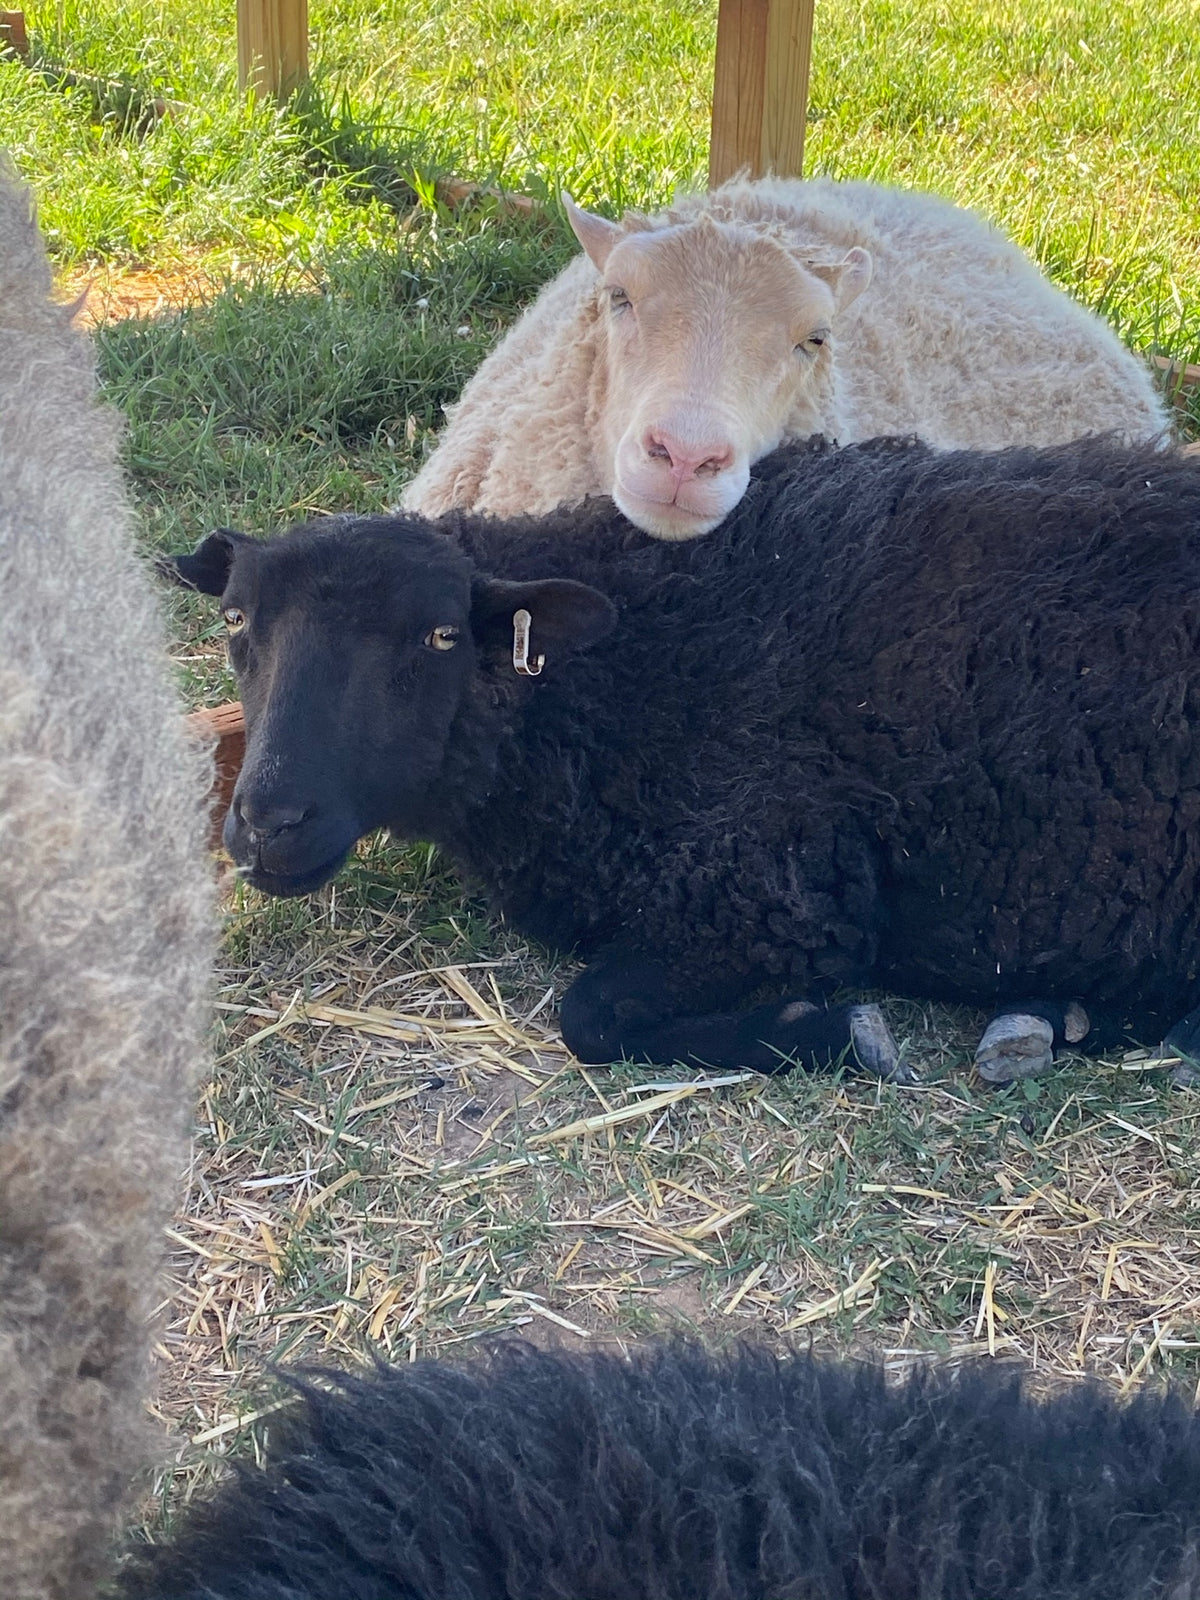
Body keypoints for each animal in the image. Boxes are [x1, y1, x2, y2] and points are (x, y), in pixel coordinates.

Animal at [173, 433, 1200, 1085]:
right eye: (236, 621)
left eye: (437, 637)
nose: (268, 824)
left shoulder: (773, 891)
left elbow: (590, 1016)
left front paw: (835, 1031)